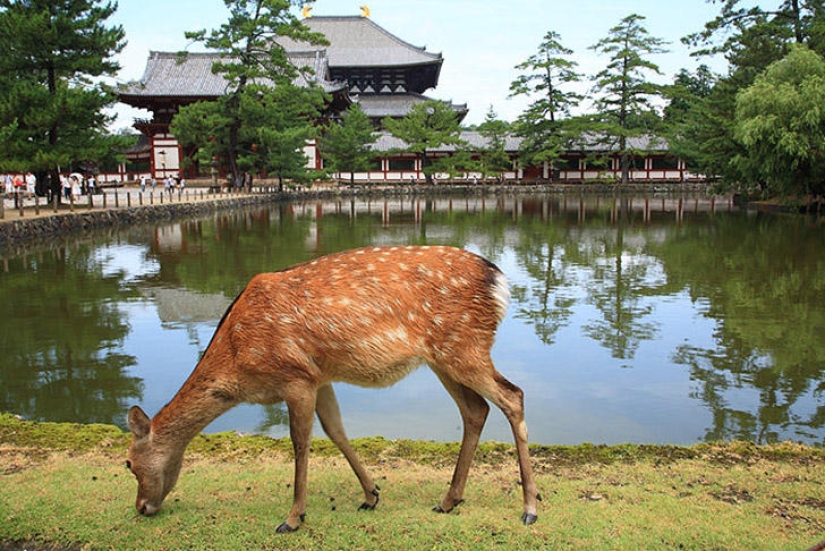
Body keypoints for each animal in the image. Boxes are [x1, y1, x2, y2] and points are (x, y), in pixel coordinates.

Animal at [126, 245, 540, 533]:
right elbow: (336, 430)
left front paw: (293, 518)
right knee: (476, 409)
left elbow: (300, 441)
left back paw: (530, 507)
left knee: (512, 396)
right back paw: (449, 500)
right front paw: (371, 495)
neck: (239, 363)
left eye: (128, 462)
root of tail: (500, 282)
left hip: (464, 346)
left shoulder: (294, 376)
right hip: (444, 356)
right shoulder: (319, 376)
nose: (141, 507)